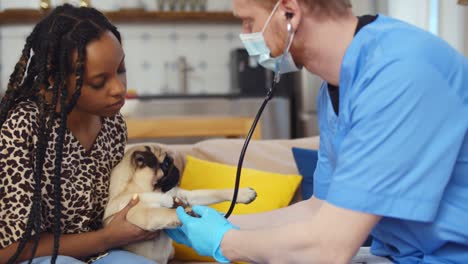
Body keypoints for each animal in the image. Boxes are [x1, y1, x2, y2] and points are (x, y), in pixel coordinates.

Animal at [103, 145, 256, 262]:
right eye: (165, 164)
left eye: (170, 162)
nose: (175, 168)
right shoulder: (142, 213)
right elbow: (166, 211)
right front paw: (188, 213)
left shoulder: (184, 196)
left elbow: (213, 192)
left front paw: (243, 193)